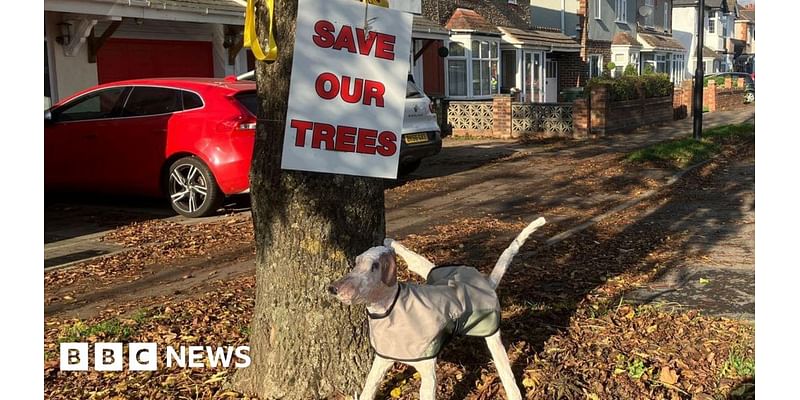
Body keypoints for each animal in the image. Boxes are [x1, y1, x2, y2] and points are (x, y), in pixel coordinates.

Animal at [324, 217, 544, 398]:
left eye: (375, 267)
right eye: (356, 262)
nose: (333, 288)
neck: (391, 308)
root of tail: (487, 283)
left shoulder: (428, 371)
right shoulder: (382, 360)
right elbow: (368, 389)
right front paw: (388, 242)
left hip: (491, 335)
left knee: (506, 371)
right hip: (436, 273)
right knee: (418, 262)